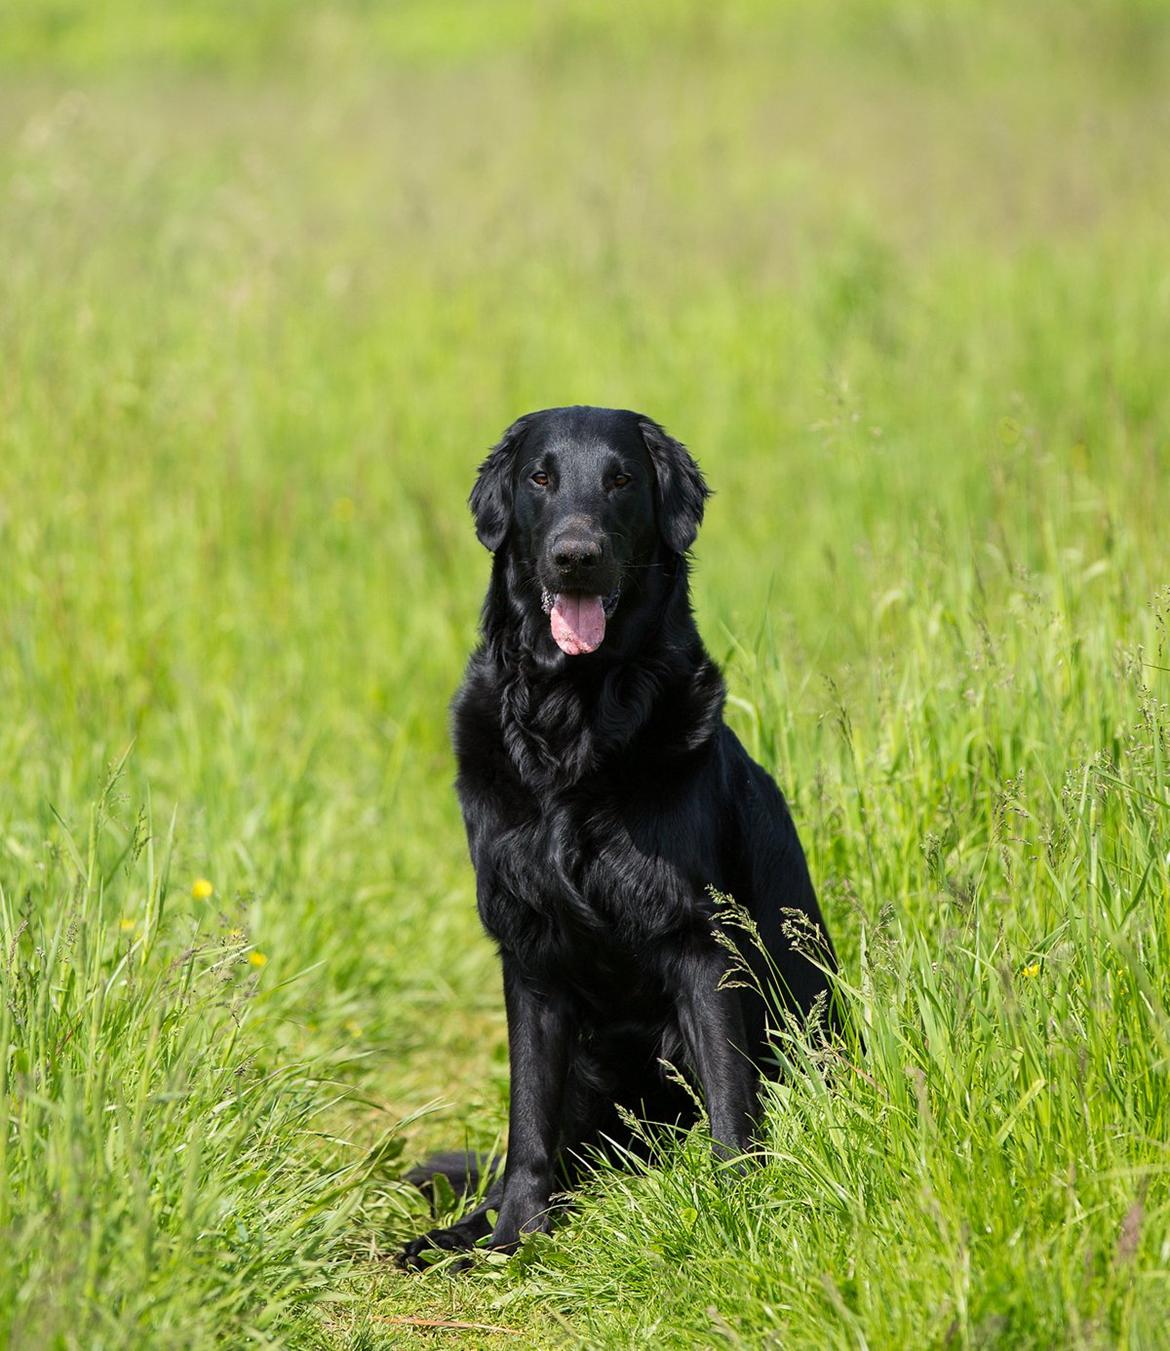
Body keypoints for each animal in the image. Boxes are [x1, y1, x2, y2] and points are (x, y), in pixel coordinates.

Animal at [397, 402, 832, 1264]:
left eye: (621, 479)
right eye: (540, 477)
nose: (576, 557)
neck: (578, 717)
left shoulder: (702, 939)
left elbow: (732, 1104)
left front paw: (739, 1212)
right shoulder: (528, 949)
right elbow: (527, 1120)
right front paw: (513, 1234)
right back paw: (455, 1233)